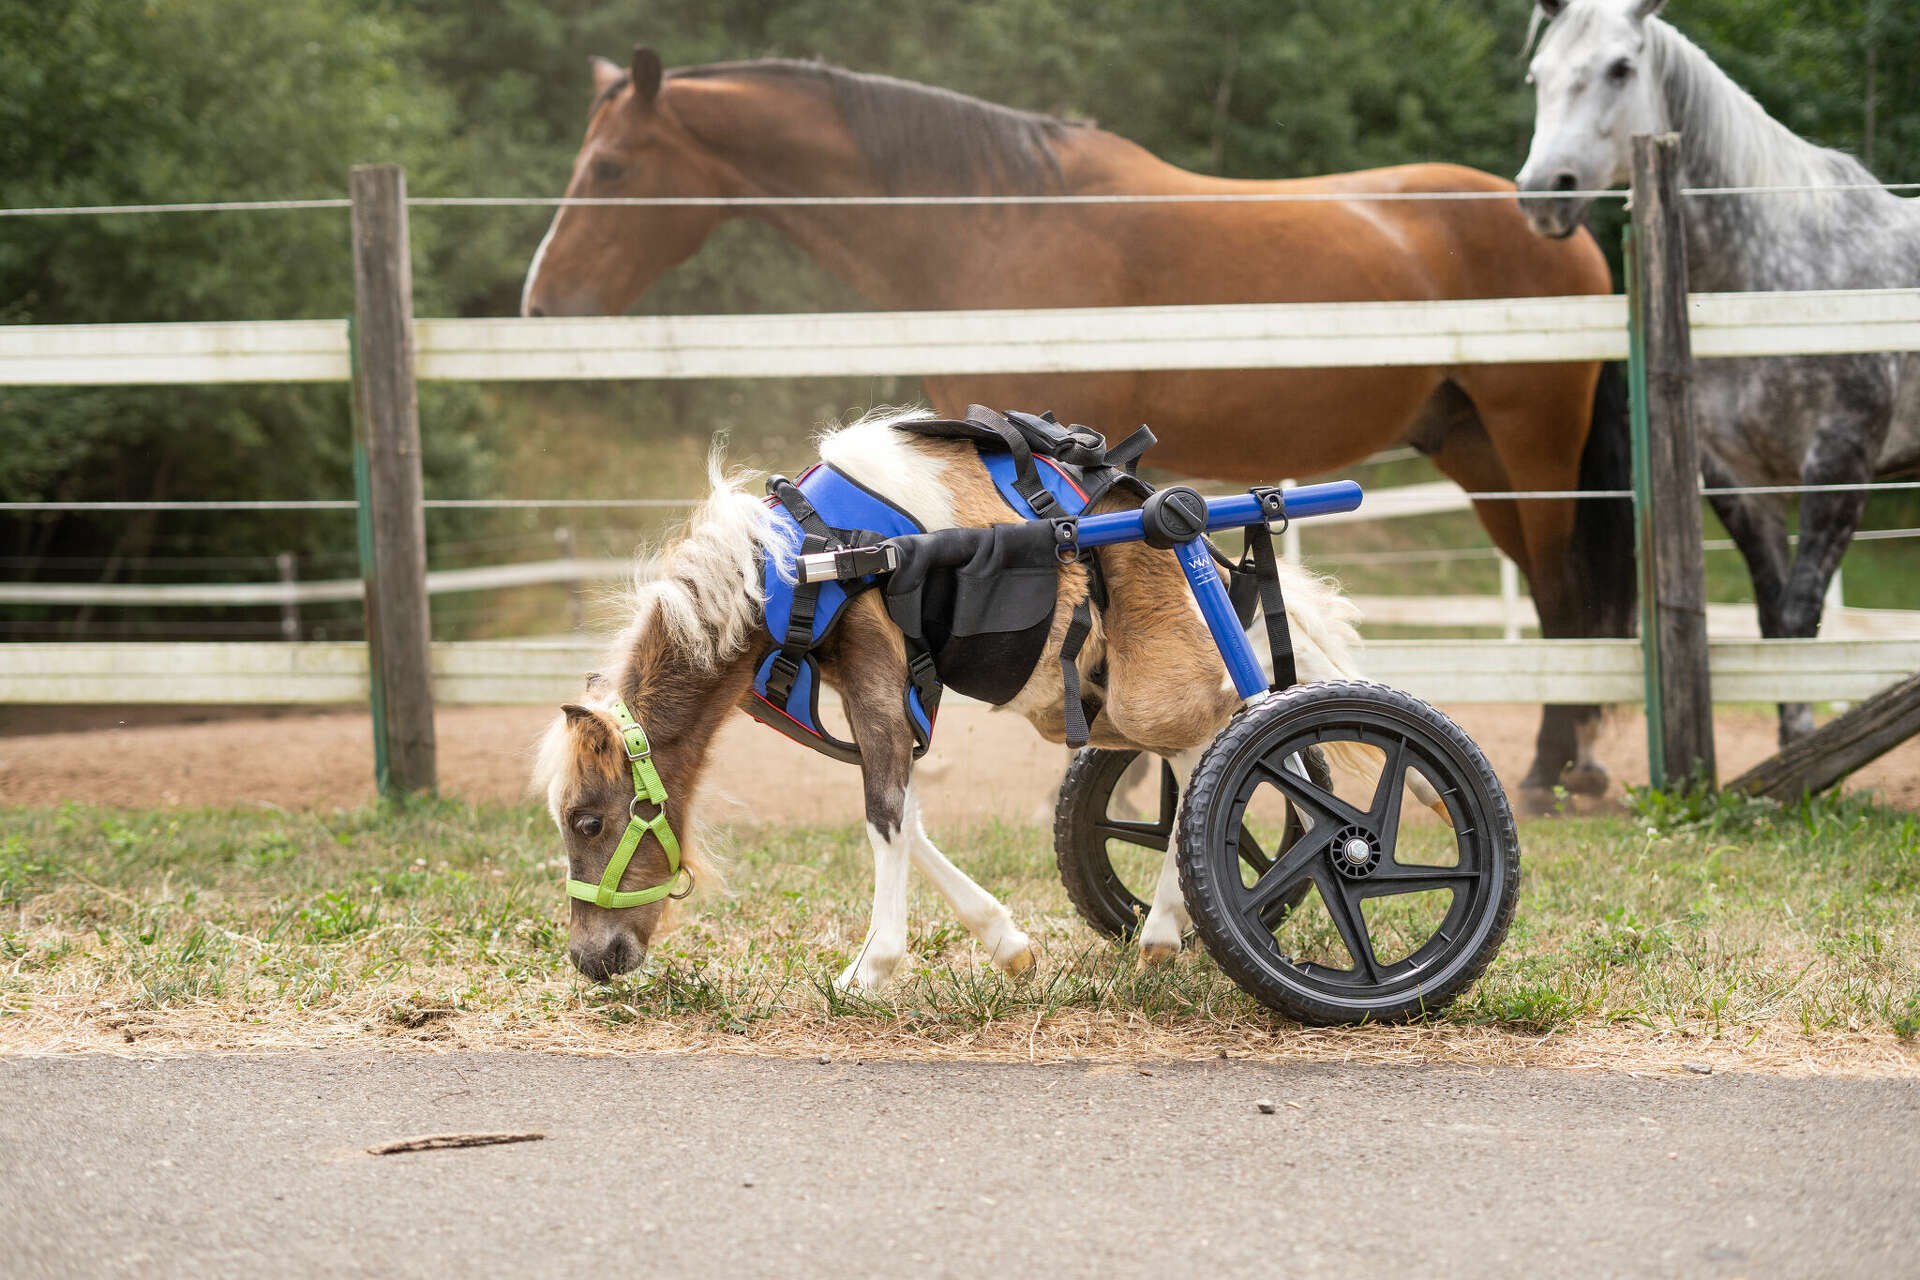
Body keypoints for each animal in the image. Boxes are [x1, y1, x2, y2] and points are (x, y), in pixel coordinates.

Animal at [519, 48, 1639, 809]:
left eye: (610, 168)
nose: (541, 304)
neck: (997, 218)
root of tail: (1563, 226)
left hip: (1535, 451)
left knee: (1565, 602)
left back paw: (1557, 772)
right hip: (1477, 453)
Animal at [532, 409, 1377, 985]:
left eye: (589, 820)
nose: (590, 959)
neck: (797, 560)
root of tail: (1184, 515)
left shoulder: (876, 665)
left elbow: (883, 812)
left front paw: (870, 970)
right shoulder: (871, 687)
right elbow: (904, 811)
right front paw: (1008, 944)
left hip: (1150, 696)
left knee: (1221, 750)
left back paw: (1171, 926)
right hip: (1109, 708)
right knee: (1199, 764)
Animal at [1517, 0, 1920, 744]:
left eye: (1621, 67)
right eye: (1539, 74)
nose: (1542, 194)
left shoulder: (1839, 466)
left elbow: (1799, 616)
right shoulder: (1741, 482)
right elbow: (1773, 622)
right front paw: (1795, 743)